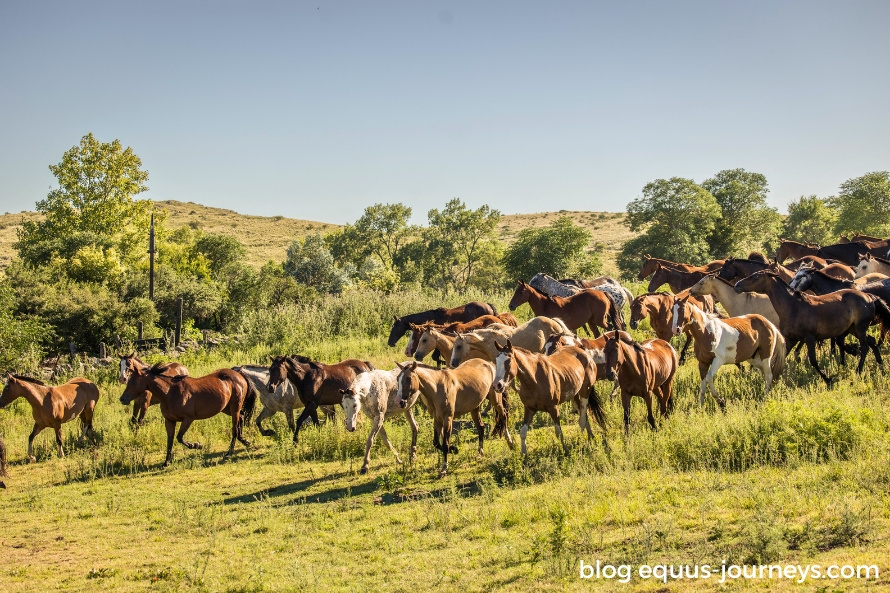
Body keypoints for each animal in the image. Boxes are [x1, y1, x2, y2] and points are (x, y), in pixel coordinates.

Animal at [120, 365, 256, 466]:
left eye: (134, 381)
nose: (122, 399)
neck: (170, 393)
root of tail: (239, 374)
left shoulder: (188, 419)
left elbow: (179, 437)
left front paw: (197, 445)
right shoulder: (169, 421)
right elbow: (170, 440)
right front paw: (167, 462)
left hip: (234, 407)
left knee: (234, 428)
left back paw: (230, 452)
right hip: (227, 408)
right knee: (241, 417)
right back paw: (245, 441)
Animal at [734, 270, 890, 384]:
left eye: (755, 277)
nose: (736, 285)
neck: (793, 306)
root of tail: (869, 297)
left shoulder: (809, 338)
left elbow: (813, 361)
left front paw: (828, 379)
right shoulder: (791, 339)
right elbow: (779, 358)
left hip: (860, 327)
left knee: (865, 346)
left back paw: (859, 370)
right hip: (853, 329)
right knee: (872, 342)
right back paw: (881, 366)